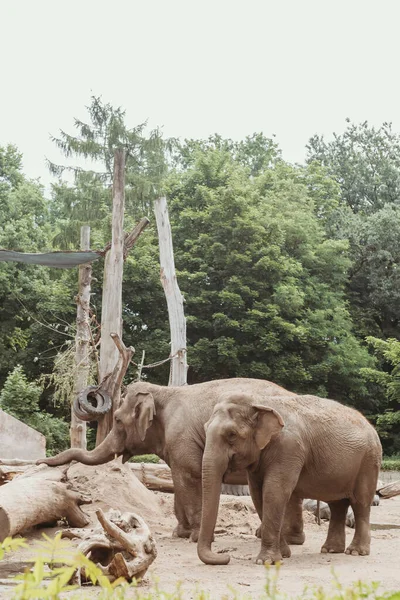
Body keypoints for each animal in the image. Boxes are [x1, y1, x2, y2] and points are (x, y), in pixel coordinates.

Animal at [38, 380, 304, 544]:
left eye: (118, 420)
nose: (43, 460)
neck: (163, 391)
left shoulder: (182, 438)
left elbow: (189, 477)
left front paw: (193, 536)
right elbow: (178, 483)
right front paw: (180, 533)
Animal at [197, 392, 382, 564]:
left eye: (232, 434)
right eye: (205, 428)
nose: (226, 556)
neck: (260, 402)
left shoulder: (289, 448)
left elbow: (274, 491)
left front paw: (266, 561)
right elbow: (257, 494)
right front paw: (284, 555)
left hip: (369, 462)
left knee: (360, 503)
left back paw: (355, 552)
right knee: (337, 504)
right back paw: (330, 550)